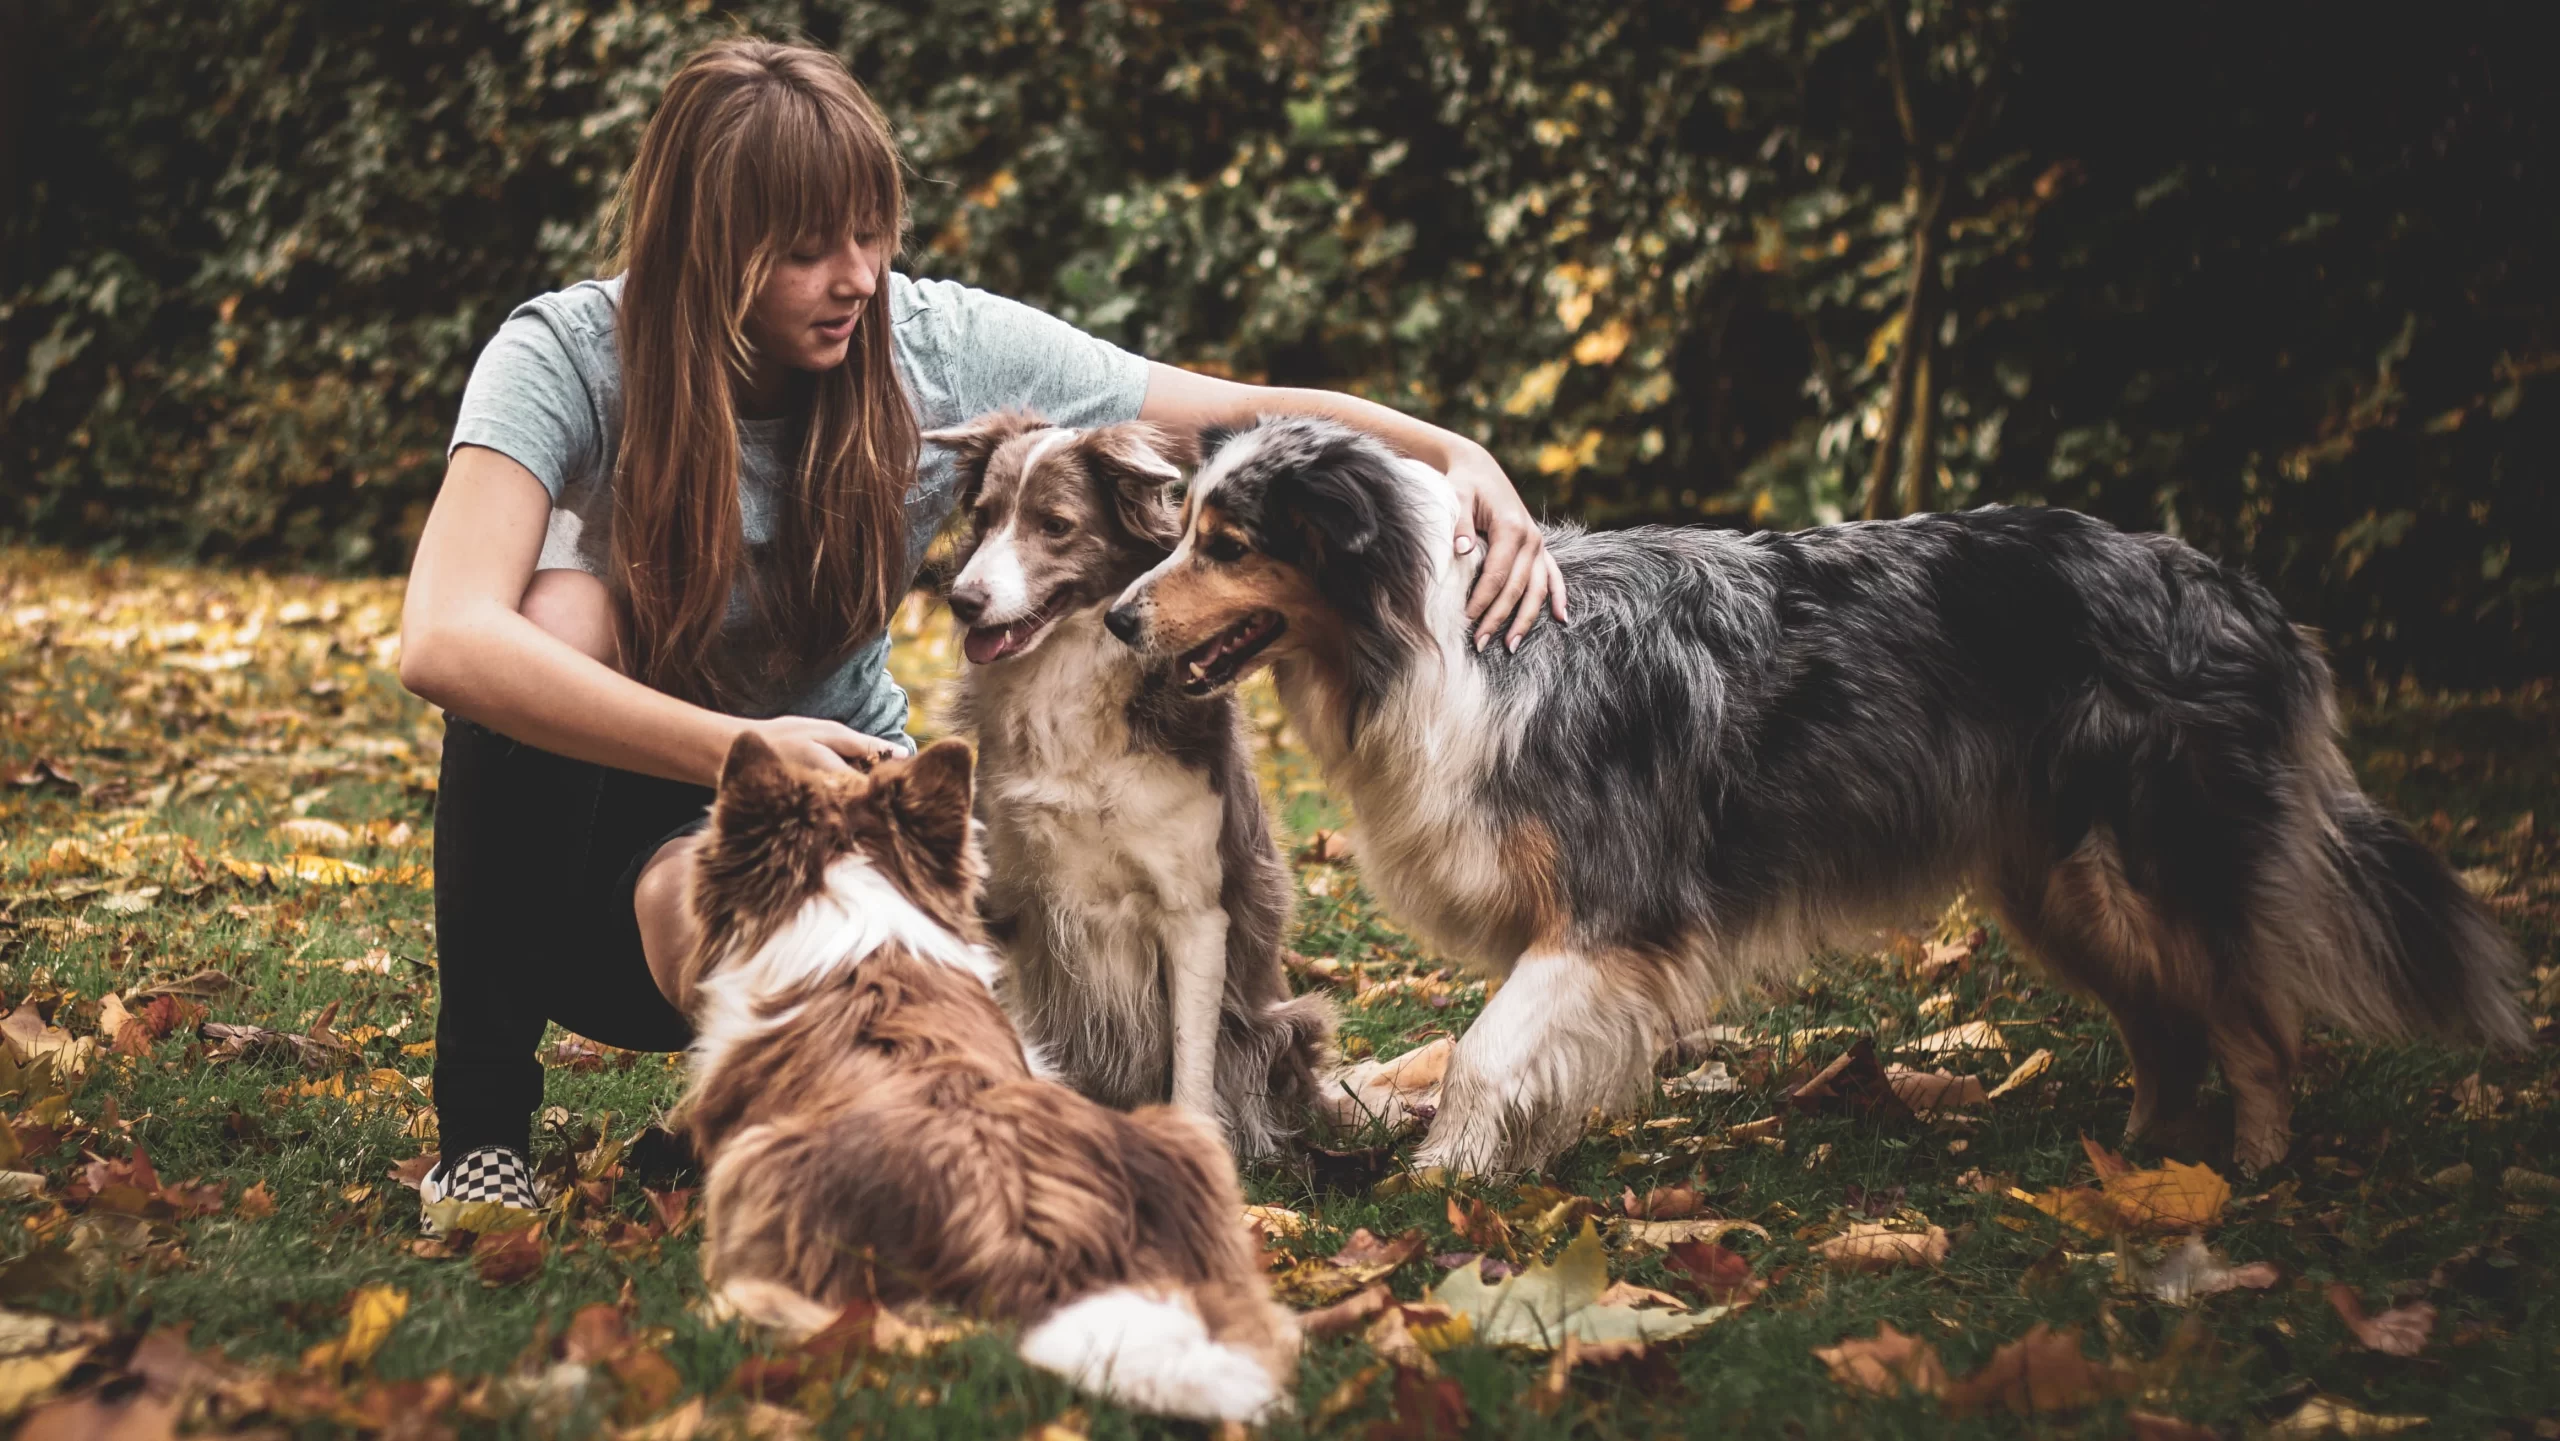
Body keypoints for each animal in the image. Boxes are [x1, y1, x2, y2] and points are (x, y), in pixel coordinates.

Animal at [921, 406, 1331, 1162]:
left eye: (1054, 525)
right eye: (985, 518)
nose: (963, 601)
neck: (1064, 683)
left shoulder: (1194, 912)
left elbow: (1191, 1060)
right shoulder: (1005, 900)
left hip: (1279, 1023)